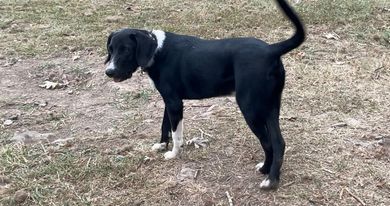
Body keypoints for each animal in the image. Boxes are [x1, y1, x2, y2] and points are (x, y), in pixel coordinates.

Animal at [105, 0, 306, 190]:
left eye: (126, 50)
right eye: (110, 49)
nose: (109, 72)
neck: (157, 50)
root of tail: (271, 49)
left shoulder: (175, 103)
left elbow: (176, 133)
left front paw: (173, 153)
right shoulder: (168, 102)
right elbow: (165, 126)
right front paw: (162, 145)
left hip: (250, 108)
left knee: (268, 143)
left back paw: (268, 176)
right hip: (270, 107)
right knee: (278, 142)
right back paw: (271, 174)